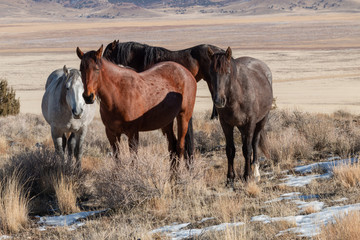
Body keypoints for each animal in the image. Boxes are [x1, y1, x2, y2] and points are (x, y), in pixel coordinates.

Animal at [208, 47, 272, 185]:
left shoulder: (250, 123)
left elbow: (248, 149)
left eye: (227, 72)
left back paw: (255, 173)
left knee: (254, 142)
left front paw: (247, 176)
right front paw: (230, 178)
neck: (237, 97)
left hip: (261, 121)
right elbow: (230, 150)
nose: (218, 101)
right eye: (211, 72)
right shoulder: (226, 124)